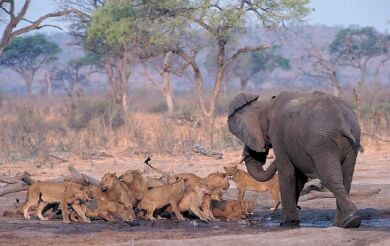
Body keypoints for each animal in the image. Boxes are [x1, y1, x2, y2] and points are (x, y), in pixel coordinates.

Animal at [229, 91, 362, 229]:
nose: (272, 160)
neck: (267, 104)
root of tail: (343, 122)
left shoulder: (278, 136)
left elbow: (287, 173)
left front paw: (286, 223)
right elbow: (298, 178)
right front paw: (293, 222)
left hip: (322, 144)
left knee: (329, 177)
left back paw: (351, 220)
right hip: (352, 140)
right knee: (346, 177)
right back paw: (343, 223)